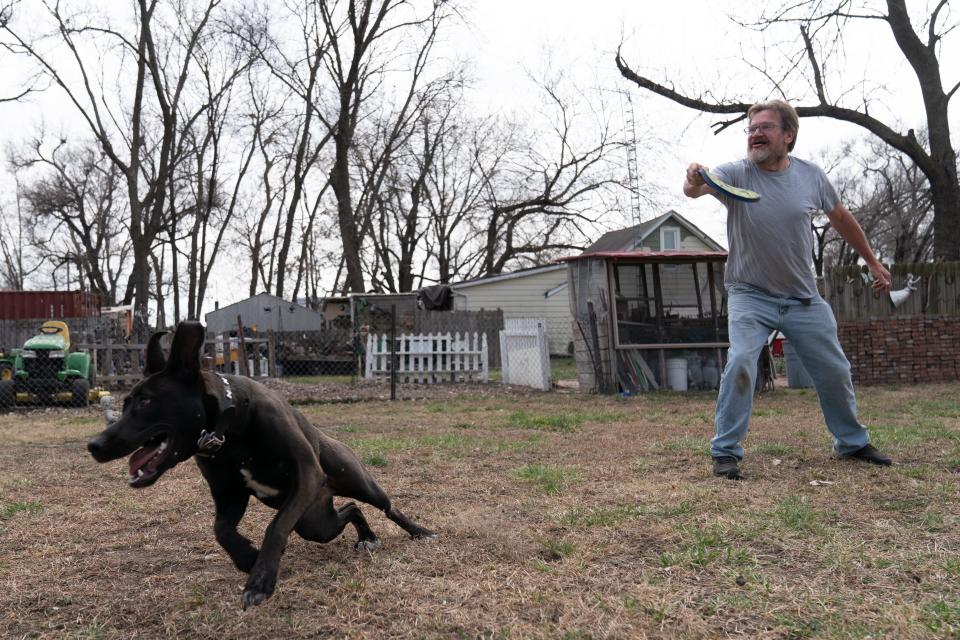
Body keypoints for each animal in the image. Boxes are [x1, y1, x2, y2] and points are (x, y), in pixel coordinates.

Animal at [90, 322, 436, 608]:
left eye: (146, 401)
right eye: (124, 404)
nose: (95, 444)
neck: (229, 429)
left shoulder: (307, 475)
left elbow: (275, 528)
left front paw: (260, 580)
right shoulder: (229, 494)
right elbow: (221, 530)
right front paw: (248, 558)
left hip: (354, 485)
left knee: (387, 507)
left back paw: (420, 532)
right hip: (314, 522)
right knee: (350, 509)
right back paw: (366, 537)